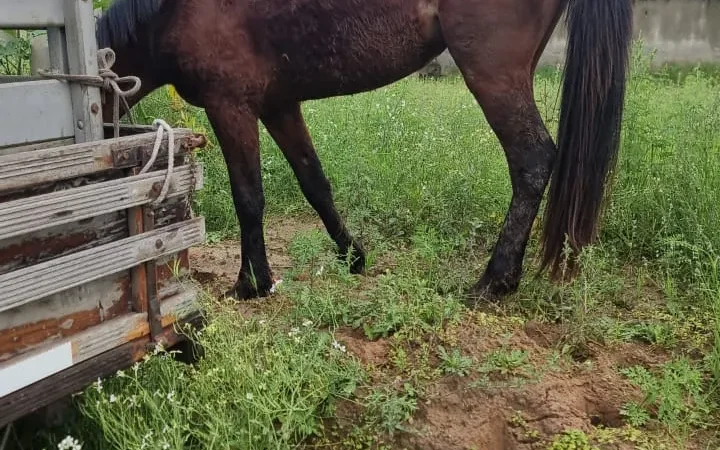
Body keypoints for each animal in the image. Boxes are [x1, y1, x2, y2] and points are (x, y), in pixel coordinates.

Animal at [96, 0, 633, 302]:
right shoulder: (279, 104)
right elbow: (314, 182)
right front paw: (352, 256)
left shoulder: (231, 106)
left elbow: (248, 197)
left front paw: (252, 283)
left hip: (492, 70)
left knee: (532, 160)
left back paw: (494, 282)